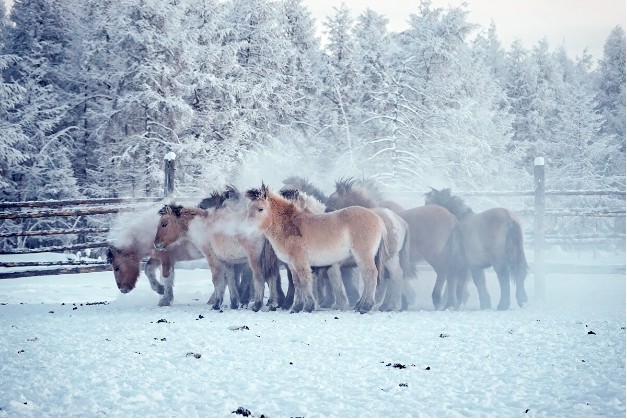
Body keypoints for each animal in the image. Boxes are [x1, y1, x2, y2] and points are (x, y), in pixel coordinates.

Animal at [155, 187, 284, 312]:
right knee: (273, 277)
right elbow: (231, 280)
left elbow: (217, 279)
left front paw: (217, 304)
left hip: (254, 258)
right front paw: (234, 303)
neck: (202, 224)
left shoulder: (212, 258)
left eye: (164, 224)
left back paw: (257, 305)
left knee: (259, 277)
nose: (156, 244)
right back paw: (273, 303)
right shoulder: (227, 261)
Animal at [245, 182, 388, 314]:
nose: (247, 228)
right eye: (248, 208)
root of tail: (379, 220)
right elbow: (297, 284)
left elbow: (305, 282)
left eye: (260, 209)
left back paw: (365, 307)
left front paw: (308, 307)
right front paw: (297, 307)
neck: (290, 225)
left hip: (363, 256)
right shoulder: (292, 265)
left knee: (370, 275)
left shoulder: (301, 262)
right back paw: (360, 305)